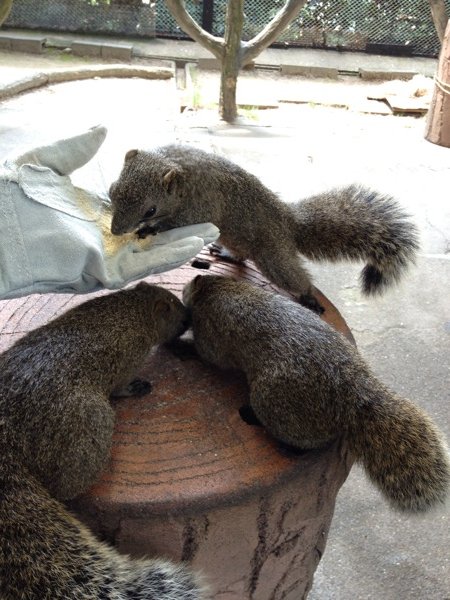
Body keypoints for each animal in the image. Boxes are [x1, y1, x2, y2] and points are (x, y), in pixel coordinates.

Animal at [0, 284, 207, 600]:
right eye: (180, 317)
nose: (189, 321)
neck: (130, 309)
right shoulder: (130, 358)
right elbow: (121, 385)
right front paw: (135, 388)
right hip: (86, 426)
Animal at [108, 146, 418, 314]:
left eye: (150, 210)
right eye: (112, 190)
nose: (115, 230)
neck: (180, 173)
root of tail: (287, 222)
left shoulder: (202, 205)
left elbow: (180, 222)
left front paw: (150, 229)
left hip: (272, 254)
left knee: (291, 275)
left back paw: (308, 295)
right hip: (239, 240)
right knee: (241, 256)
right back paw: (225, 254)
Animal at [181, 274, 448, 512]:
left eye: (186, 288)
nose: (184, 290)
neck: (219, 287)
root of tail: (353, 395)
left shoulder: (209, 333)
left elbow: (209, 356)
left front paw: (184, 347)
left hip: (276, 404)